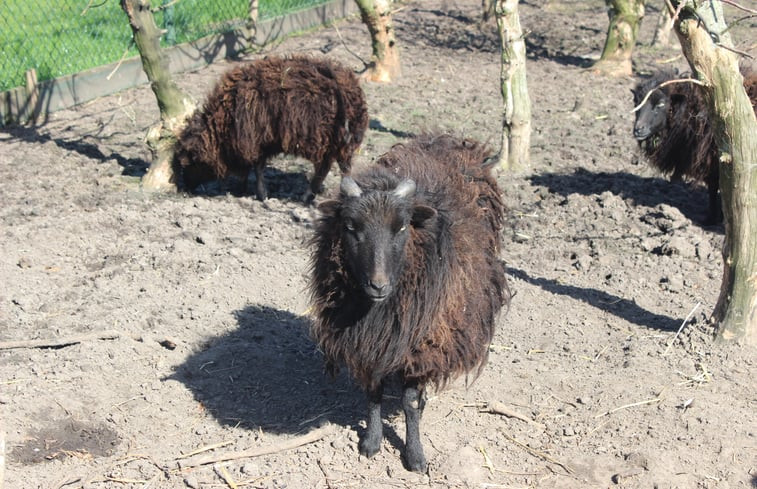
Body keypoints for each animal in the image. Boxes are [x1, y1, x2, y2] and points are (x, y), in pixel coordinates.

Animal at [172, 56, 372, 201]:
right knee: (336, 167)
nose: (185, 189)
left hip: (323, 140)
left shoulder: (253, 141)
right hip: (341, 141)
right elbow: (254, 168)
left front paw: (258, 194)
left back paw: (308, 196)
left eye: (188, 163)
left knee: (326, 168)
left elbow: (256, 168)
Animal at [306, 134, 508, 472]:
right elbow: (373, 392)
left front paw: (415, 456)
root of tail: (441, 138)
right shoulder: (370, 343)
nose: (378, 285)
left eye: (401, 227)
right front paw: (371, 442)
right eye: (351, 227)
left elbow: (410, 403)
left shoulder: (422, 346)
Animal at [632, 66, 756, 223]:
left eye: (661, 104)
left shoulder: (714, 160)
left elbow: (714, 188)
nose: (638, 129)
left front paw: (712, 218)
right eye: (637, 102)